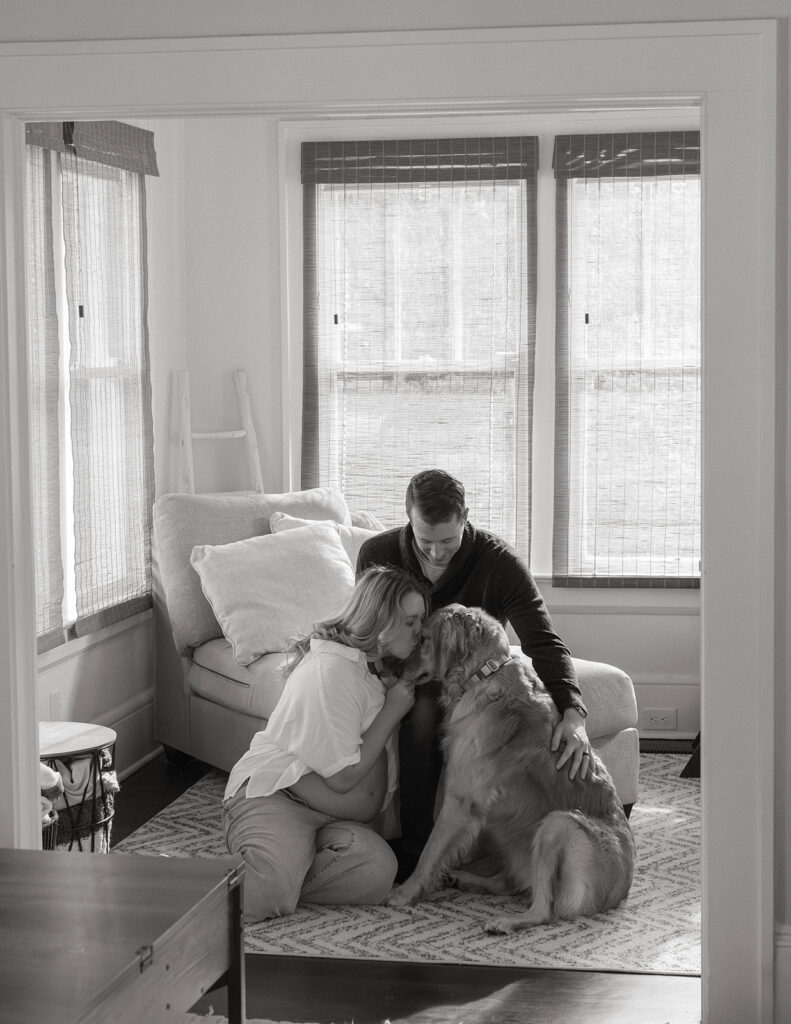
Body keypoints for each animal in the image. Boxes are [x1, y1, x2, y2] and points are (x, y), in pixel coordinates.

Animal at [386, 605, 635, 933]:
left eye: (425, 638)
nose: (395, 668)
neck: (483, 674)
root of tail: (623, 888)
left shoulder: (460, 800)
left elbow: (430, 850)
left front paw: (405, 891)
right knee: (512, 883)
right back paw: (468, 879)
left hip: (558, 825)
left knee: (543, 909)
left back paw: (505, 920)